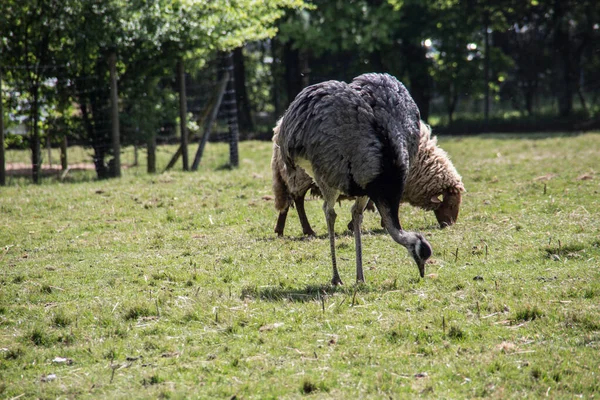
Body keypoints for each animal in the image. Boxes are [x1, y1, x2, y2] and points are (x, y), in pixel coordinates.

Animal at [276, 74, 432, 284]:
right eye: (420, 254)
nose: (422, 271)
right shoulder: (338, 178)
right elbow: (332, 213)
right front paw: (338, 278)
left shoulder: (366, 189)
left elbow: (357, 214)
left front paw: (360, 277)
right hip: (321, 173)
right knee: (329, 212)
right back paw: (336, 277)